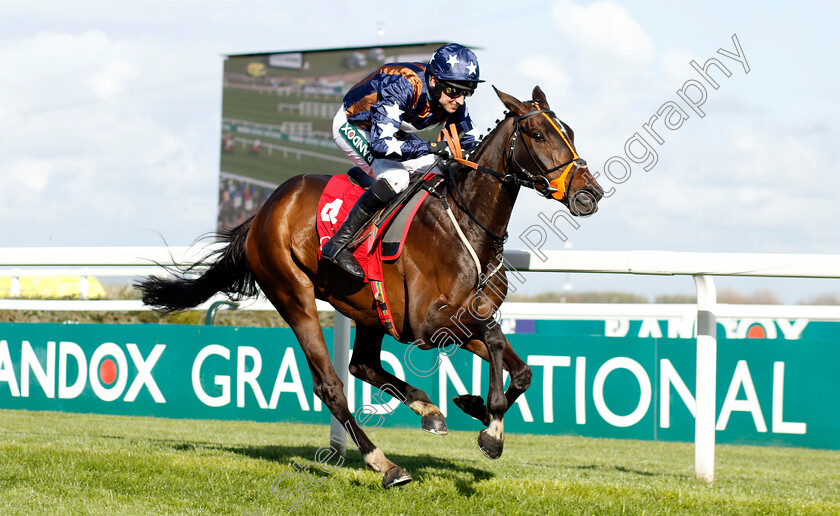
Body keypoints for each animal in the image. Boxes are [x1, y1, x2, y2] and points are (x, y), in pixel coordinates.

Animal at [141, 84, 608, 488]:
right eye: (537, 133)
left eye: (569, 132)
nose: (590, 194)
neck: (469, 226)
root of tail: (264, 210)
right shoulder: (428, 324)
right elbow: (493, 340)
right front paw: (489, 427)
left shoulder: (461, 319)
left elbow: (523, 370)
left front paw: (475, 409)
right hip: (293, 294)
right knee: (331, 385)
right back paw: (384, 464)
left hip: (367, 309)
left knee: (361, 365)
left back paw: (428, 409)